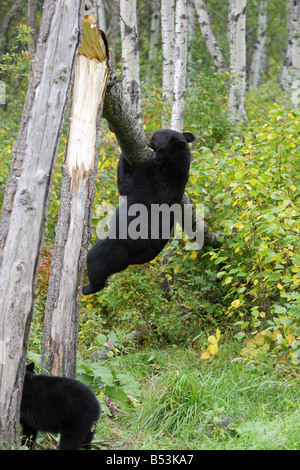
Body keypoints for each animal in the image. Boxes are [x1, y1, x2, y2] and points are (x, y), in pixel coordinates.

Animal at [82, 129, 195, 296]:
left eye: (156, 134)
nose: (146, 134)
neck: (174, 168)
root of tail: (131, 261)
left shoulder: (151, 175)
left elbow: (125, 184)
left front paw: (123, 155)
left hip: (112, 249)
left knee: (95, 261)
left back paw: (87, 288)